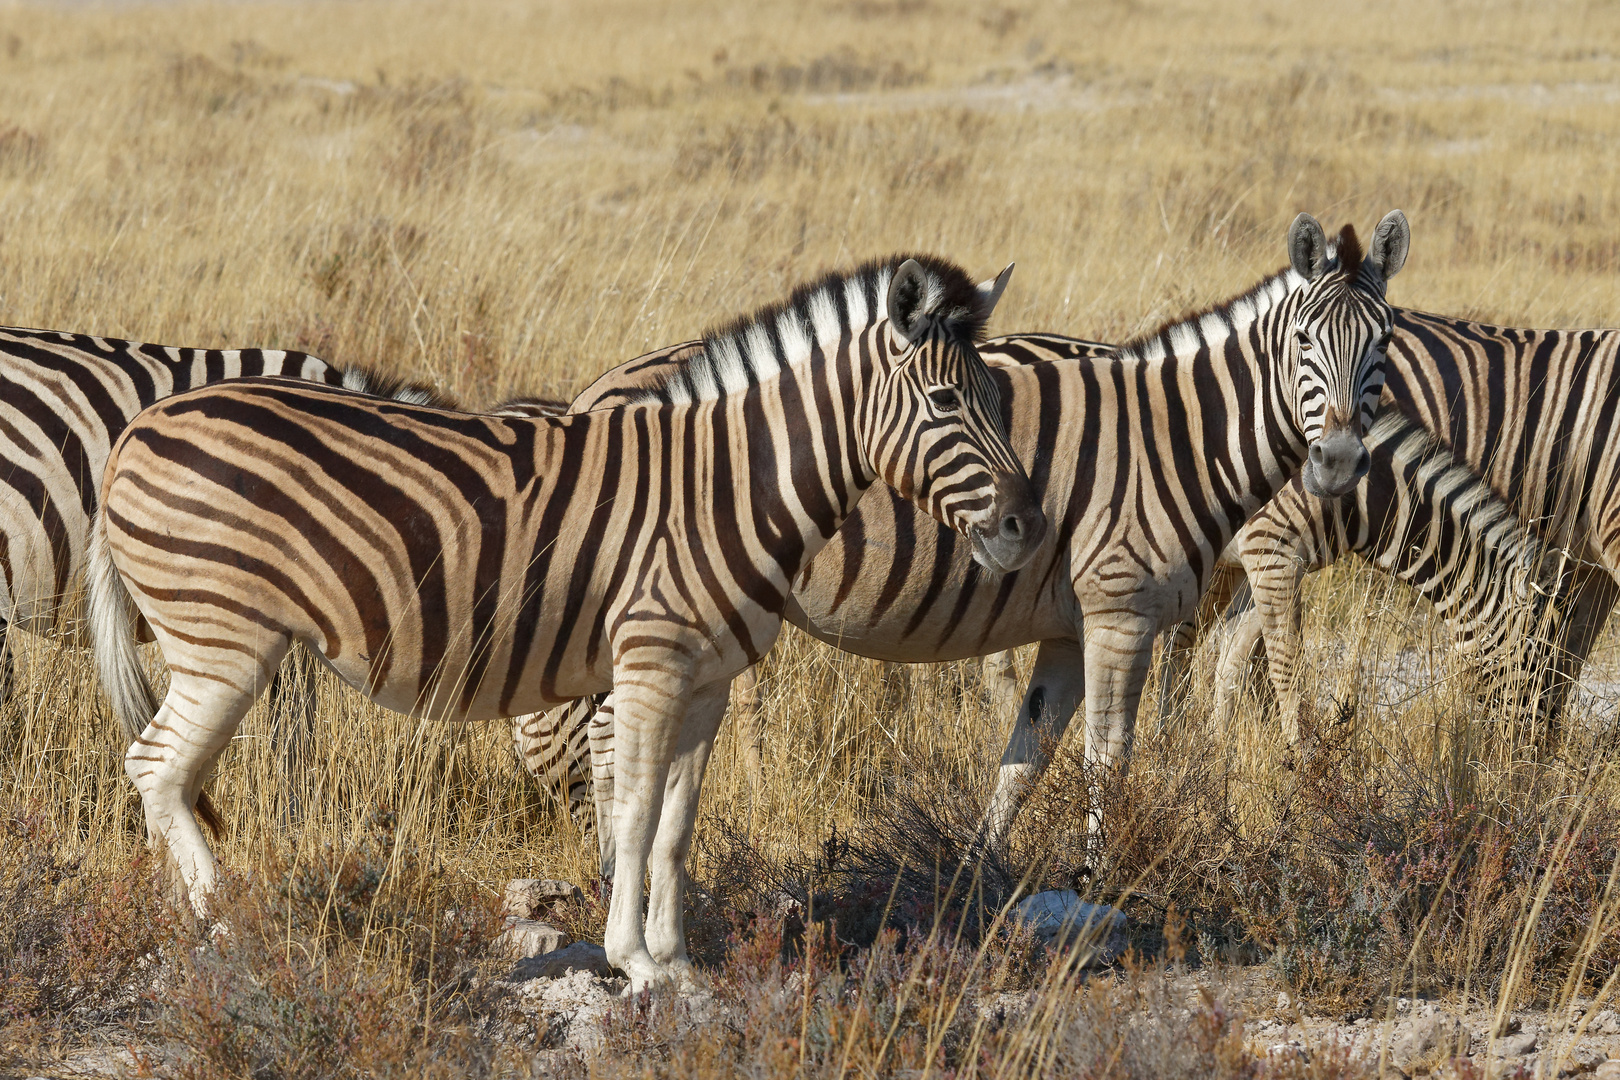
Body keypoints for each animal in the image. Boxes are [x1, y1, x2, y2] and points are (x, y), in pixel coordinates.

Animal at [88, 255, 1043, 997]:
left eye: (1003, 401)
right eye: (946, 401)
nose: (1027, 529)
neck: (729, 487)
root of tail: (138, 428)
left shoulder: (710, 680)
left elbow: (676, 823)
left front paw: (679, 961)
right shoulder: (650, 661)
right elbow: (632, 810)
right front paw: (634, 961)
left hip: (219, 644)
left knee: (165, 773)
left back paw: (183, 921)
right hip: (224, 640)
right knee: (157, 765)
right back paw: (225, 926)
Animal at [515, 208, 1406, 854]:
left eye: (1386, 344)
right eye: (1303, 343)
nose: (1336, 461)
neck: (1175, 437)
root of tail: (592, 396)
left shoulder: (1070, 629)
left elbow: (1026, 762)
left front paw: (984, 877)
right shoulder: (1120, 612)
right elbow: (1107, 762)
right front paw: (1102, 880)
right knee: (608, 737)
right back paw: (613, 869)